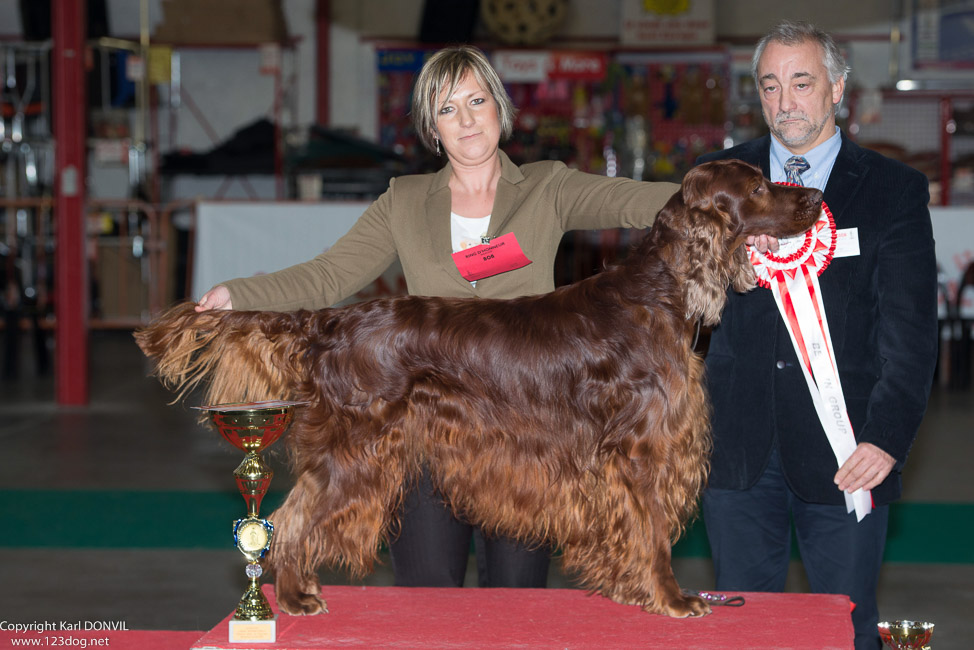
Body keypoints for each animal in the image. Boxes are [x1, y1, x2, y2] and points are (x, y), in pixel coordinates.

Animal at [137, 161, 824, 616]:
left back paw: (296, 591)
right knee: (289, 516)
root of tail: (328, 322)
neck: (658, 292)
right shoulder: (641, 448)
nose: (815, 195)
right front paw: (673, 599)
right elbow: (653, 530)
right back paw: (293, 596)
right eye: (759, 187)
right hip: (357, 451)